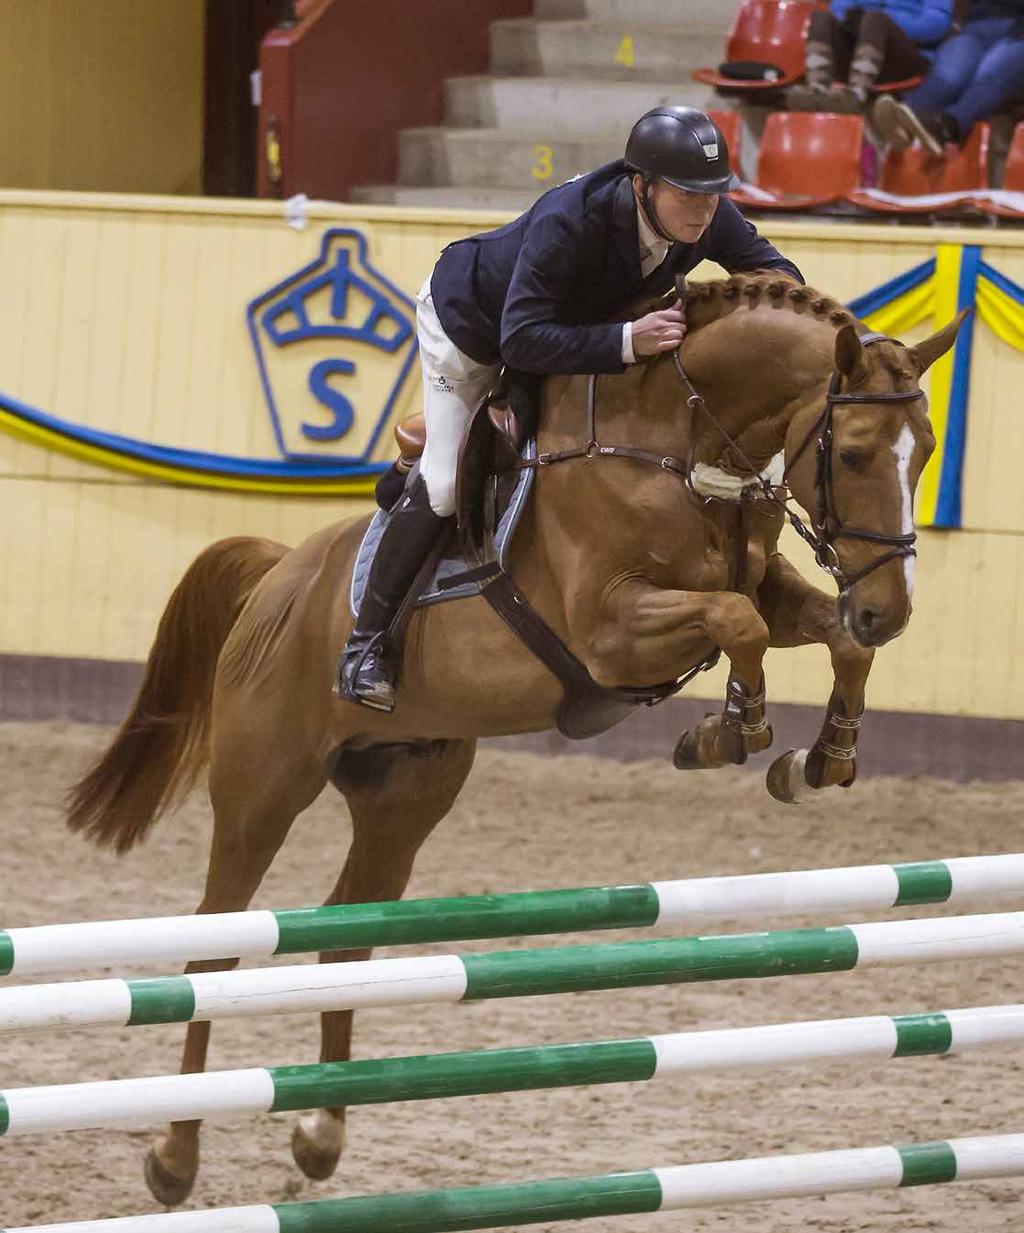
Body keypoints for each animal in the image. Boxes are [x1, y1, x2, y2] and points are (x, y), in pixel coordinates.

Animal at [70, 272, 962, 1203]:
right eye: (853, 454)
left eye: (927, 451)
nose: (890, 608)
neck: (675, 448)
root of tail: (279, 577)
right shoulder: (612, 632)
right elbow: (736, 621)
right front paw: (732, 727)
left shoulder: (773, 591)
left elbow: (824, 637)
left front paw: (822, 757)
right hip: (264, 788)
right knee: (213, 955)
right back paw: (174, 1160)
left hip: (404, 797)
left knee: (347, 940)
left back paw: (319, 1137)